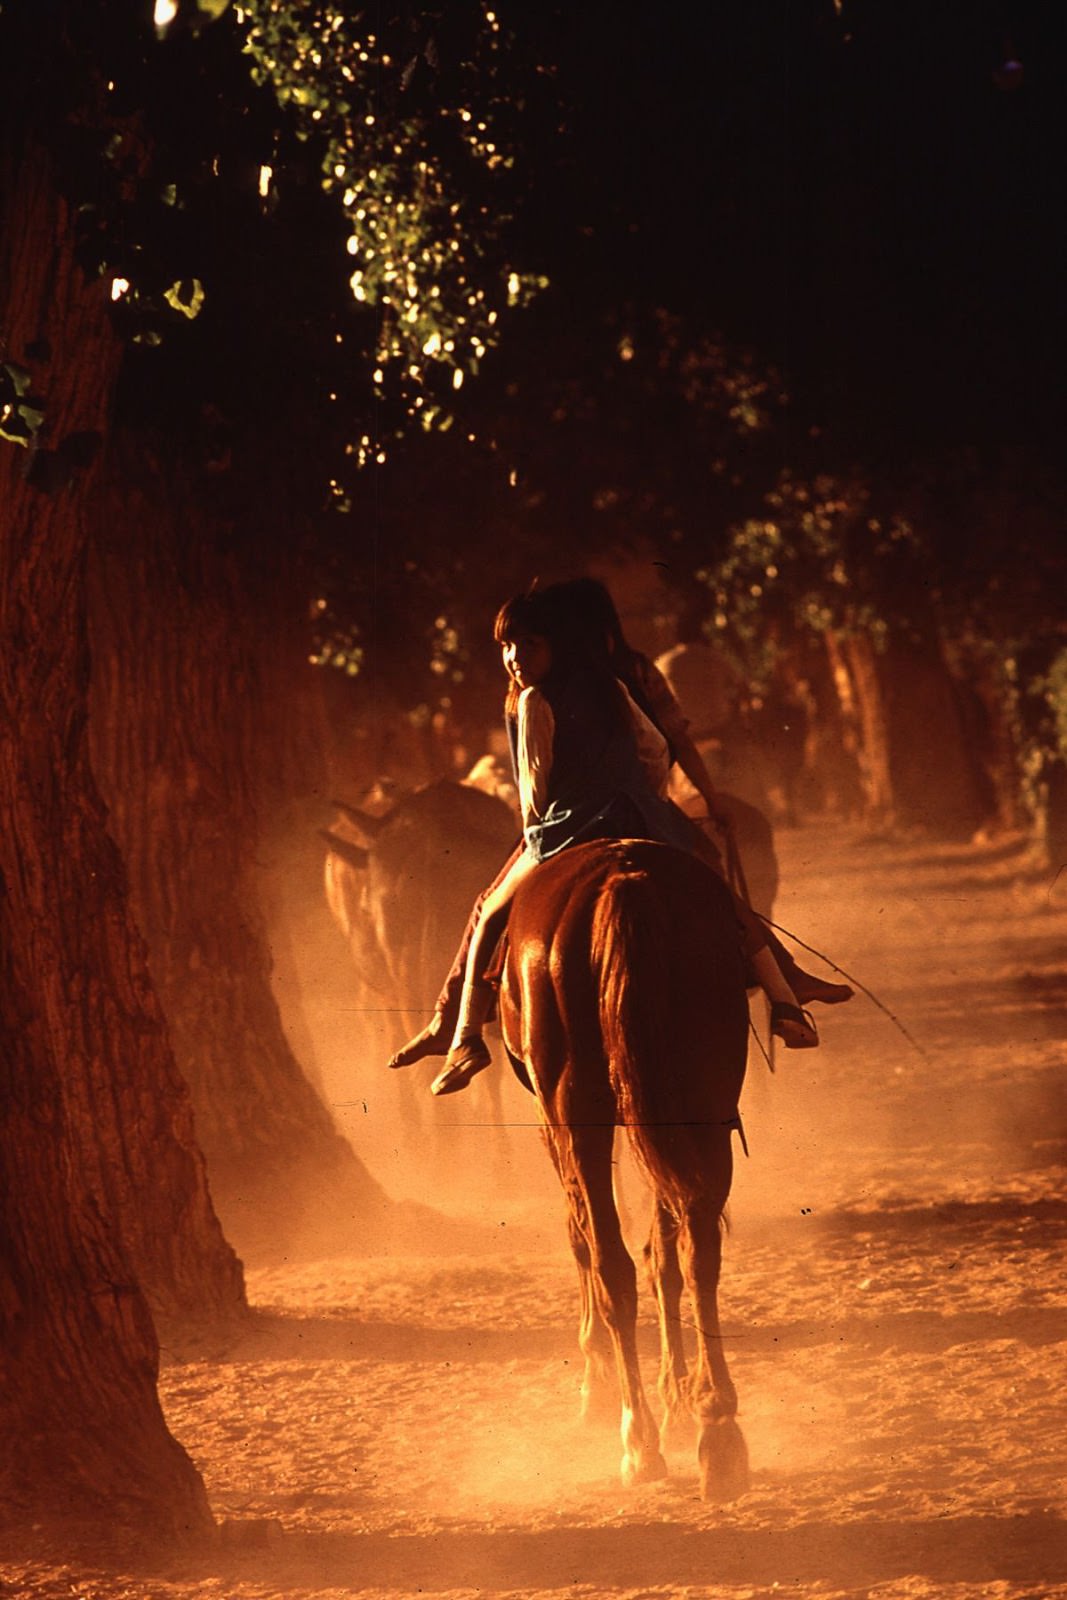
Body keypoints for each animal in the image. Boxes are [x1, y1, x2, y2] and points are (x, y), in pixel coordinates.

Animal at [499, 838, 751, 1497]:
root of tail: (624, 878)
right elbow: (662, 1254)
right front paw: (680, 1401)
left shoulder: (551, 1121)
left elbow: (582, 1239)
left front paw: (600, 1387)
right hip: (704, 1095)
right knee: (695, 1251)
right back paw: (718, 1432)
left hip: (575, 1107)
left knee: (613, 1265)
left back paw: (639, 1443)